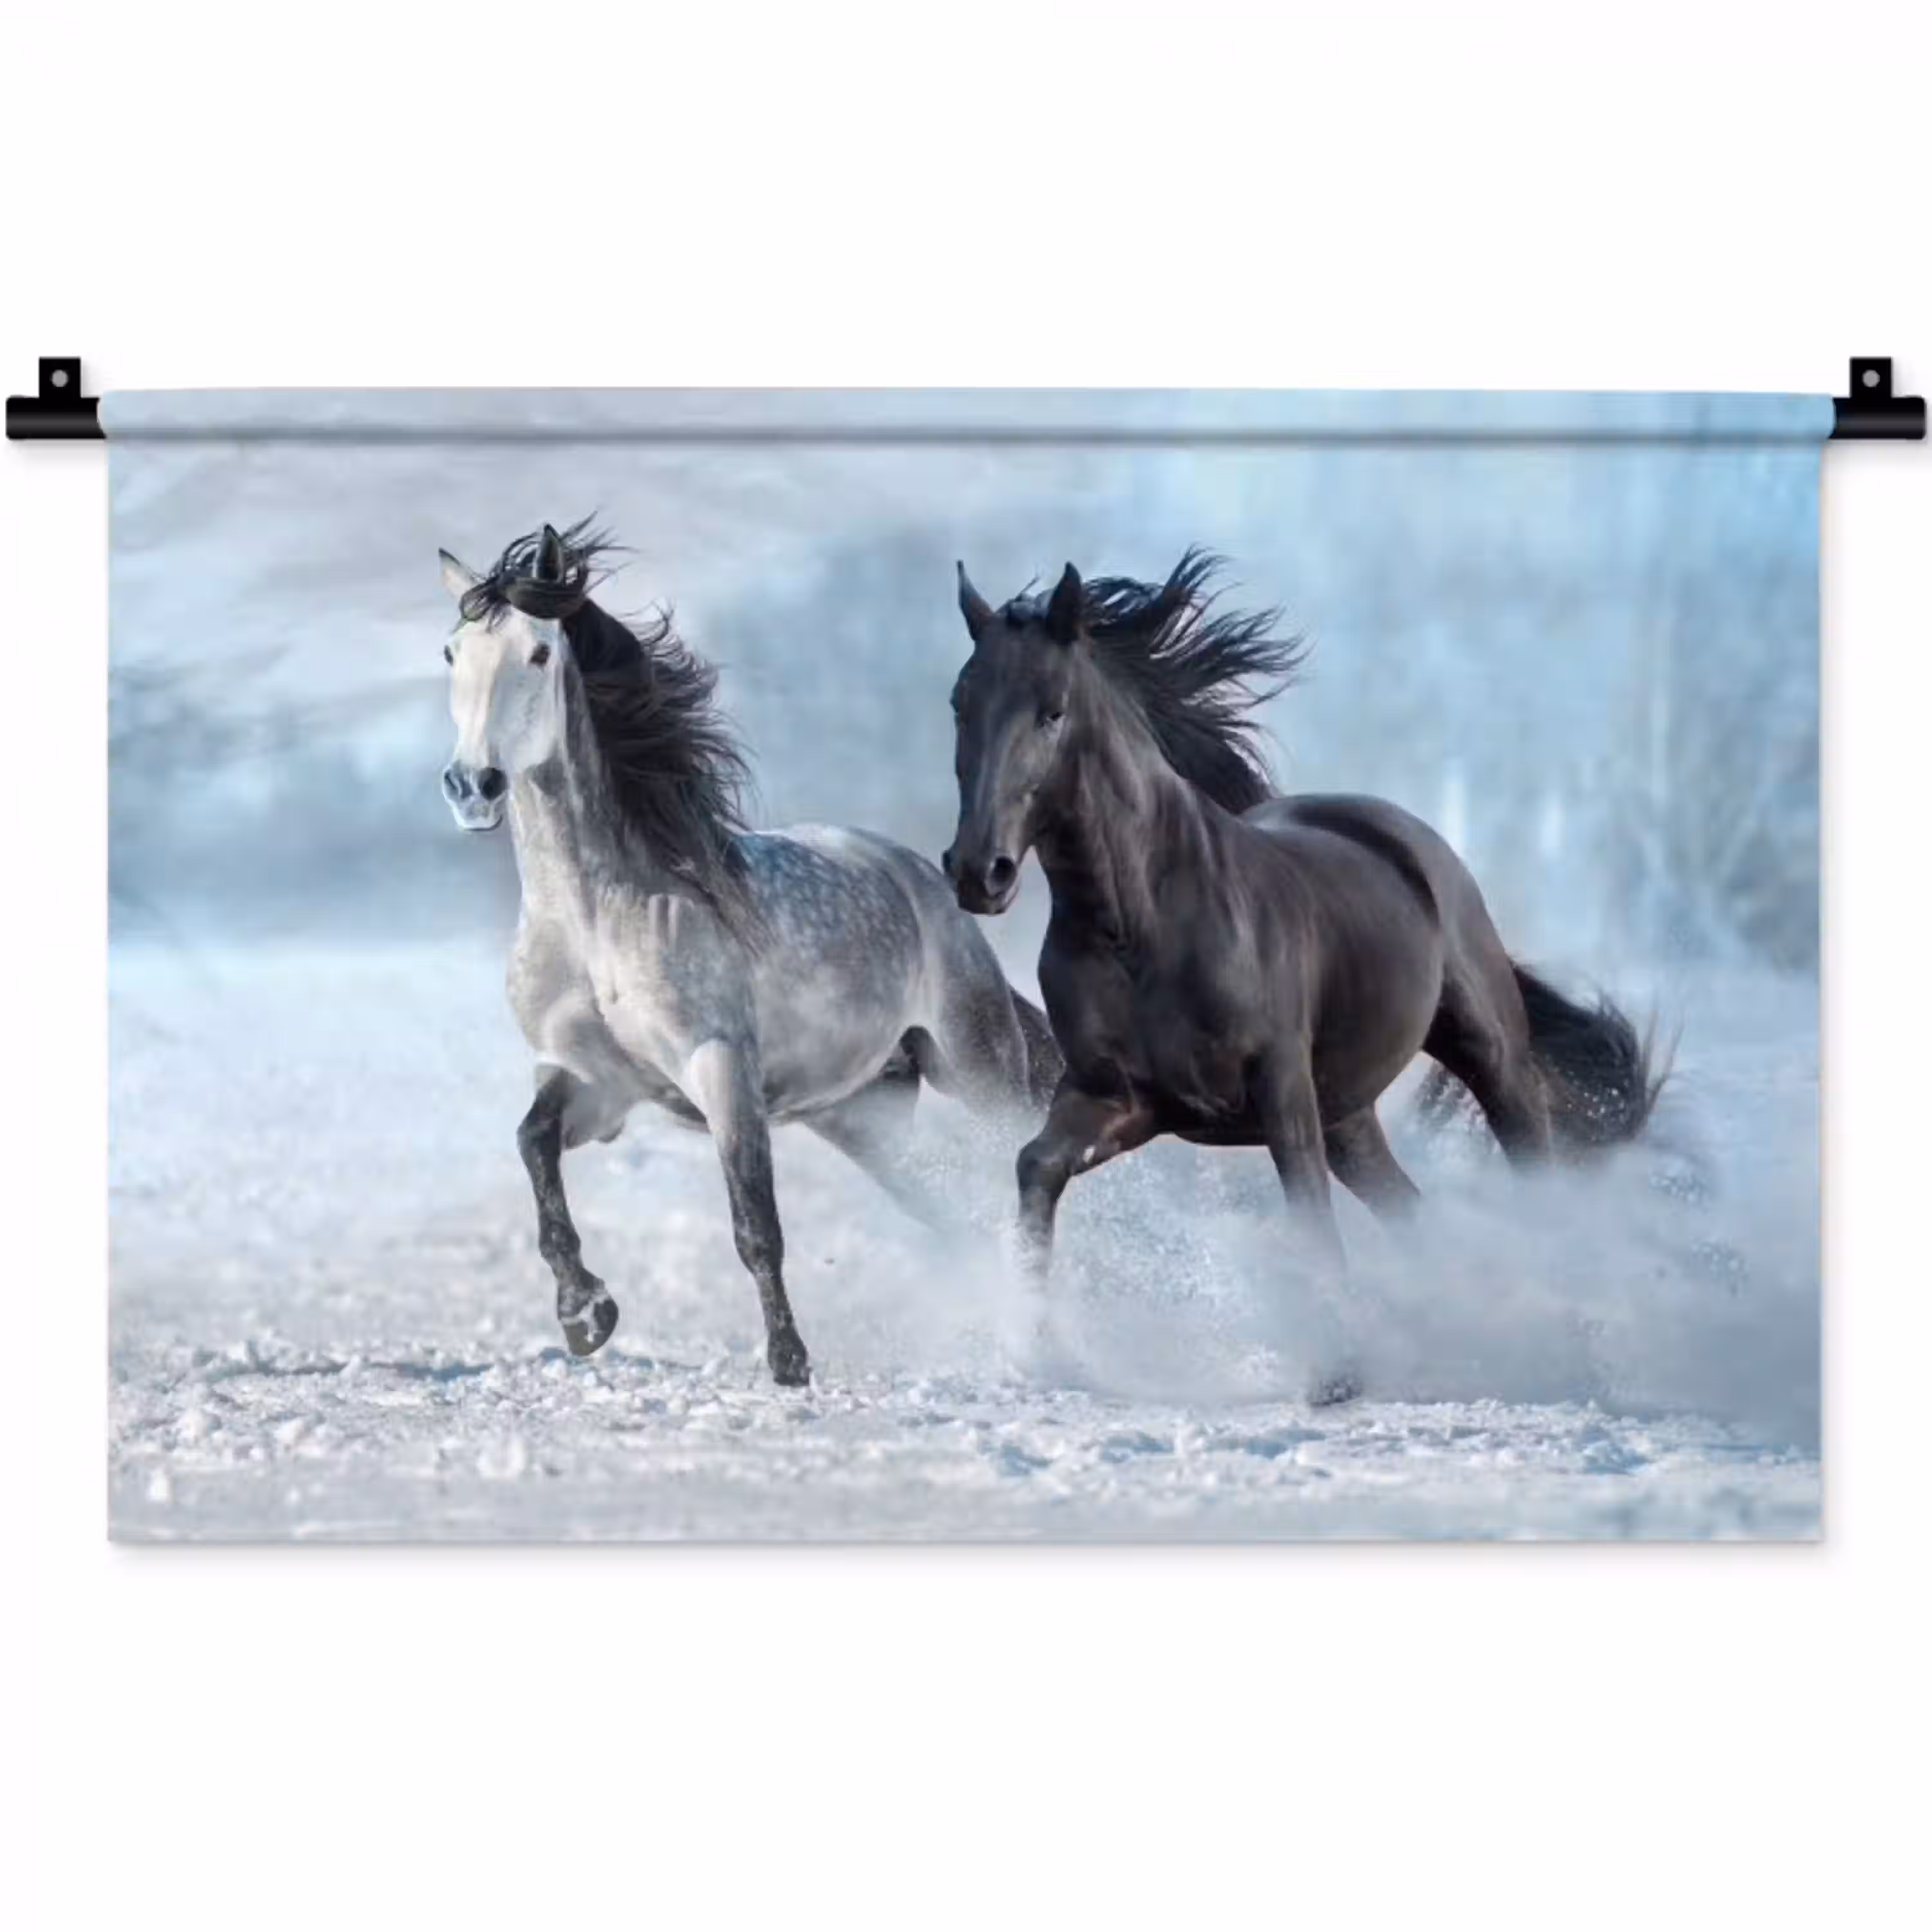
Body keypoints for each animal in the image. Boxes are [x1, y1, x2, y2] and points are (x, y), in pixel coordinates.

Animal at [438, 520, 1059, 1386]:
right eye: (452, 652)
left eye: (536, 653)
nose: (474, 786)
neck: (598, 920)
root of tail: (924, 881)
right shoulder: (592, 1082)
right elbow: (533, 1148)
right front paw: (586, 1315)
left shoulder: (721, 1068)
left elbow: (755, 1224)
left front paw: (789, 1363)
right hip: (863, 1118)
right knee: (958, 1214)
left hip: (980, 1070)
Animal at [941, 547, 1663, 1367]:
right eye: (960, 702)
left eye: (1053, 710)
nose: (980, 872)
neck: (1141, 924)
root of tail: (1403, 834)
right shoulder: (1119, 1098)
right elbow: (1037, 1166)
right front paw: (1036, 1344)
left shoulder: (1281, 1091)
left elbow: (1310, 1220)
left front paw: (1338, 1374)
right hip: (1349, 1113)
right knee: (1410, 1211)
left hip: (1486, 1055)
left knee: (1531, 1165)